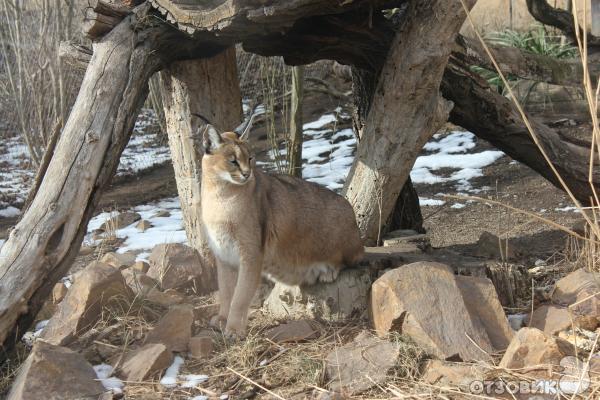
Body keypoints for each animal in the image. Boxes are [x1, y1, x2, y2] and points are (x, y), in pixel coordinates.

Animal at [199, 123, 364, 336]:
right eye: (233, 161)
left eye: (250, 158)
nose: (247, 174)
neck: (220, 194)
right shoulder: (223, 255)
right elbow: (226, 292)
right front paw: (222, 319)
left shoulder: (251, 254)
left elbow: (240, 296)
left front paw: (234, 329)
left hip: (338, 223)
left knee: (355, 257)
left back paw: (328, 271)